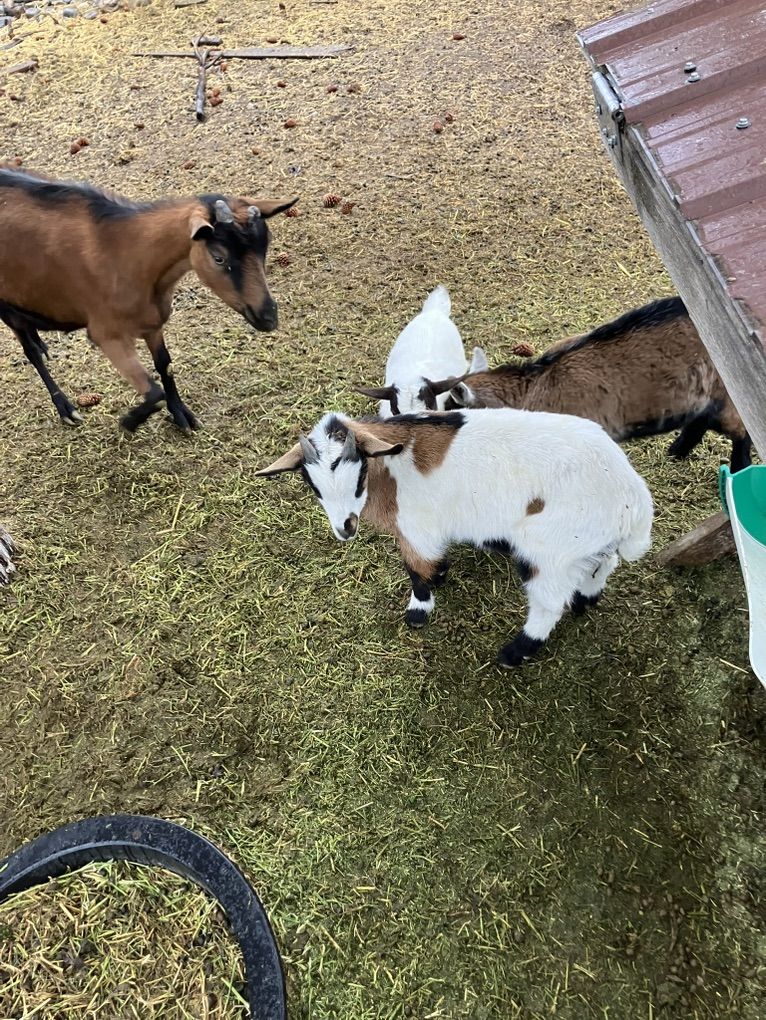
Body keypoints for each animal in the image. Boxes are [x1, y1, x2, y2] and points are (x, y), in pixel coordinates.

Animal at [0, 167, 297, 433]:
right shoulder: (107, 334)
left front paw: (182, 415)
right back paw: (65, 407)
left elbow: (165, 366)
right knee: (29, 352)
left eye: (265, 247)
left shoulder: (153, 322)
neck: (129, 253)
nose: (268, 317)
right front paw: (129, 421)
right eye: (219, 257)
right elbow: (154, 393)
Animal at [256, 408, 653, 667]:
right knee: (604, 562)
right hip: (585, 542)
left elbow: (415, 569)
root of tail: (632, 497)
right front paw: (441, 576)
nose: (345, 527)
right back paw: (587, 599)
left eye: (358, 474)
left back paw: (516, 652)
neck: (392, 470)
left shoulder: (416, 528)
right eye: (313, 486)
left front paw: (419, 610)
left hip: (549, 551)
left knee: (549, 603)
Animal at [440, 297, 751, 472]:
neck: (535, 383)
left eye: (456, 412)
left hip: (726, 396)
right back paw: (677, 451)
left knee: (741, 431)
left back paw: (739, 468)